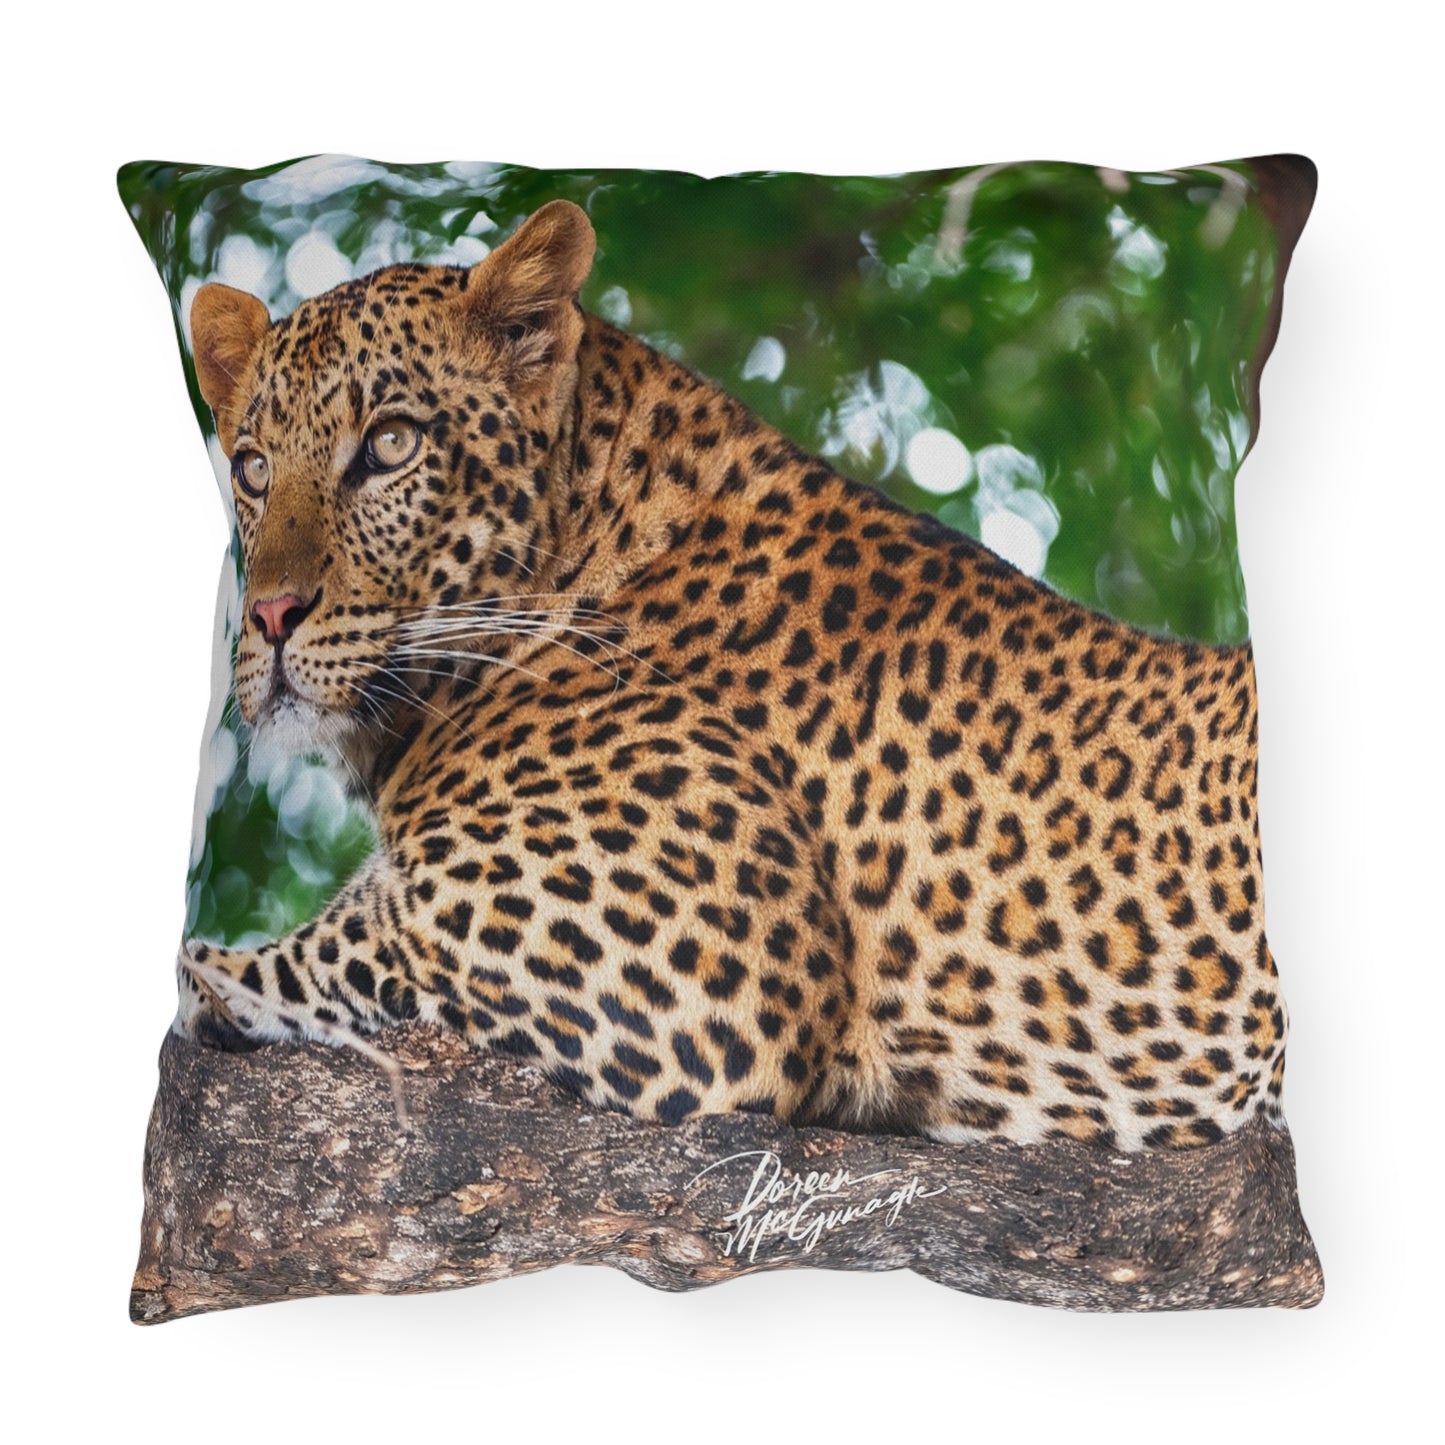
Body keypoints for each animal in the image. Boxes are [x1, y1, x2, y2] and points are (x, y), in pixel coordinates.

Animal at [179, 198, 1289, 1150]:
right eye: (251, 468)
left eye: (391, 444)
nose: (269, 615)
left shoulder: (682, 972)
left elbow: (293, 954)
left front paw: (210, 985)